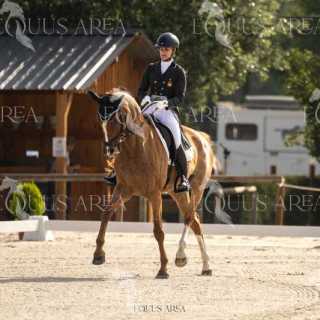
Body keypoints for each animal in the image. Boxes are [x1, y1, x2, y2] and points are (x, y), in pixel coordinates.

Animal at [88, 87, 218, 278]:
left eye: (114, 119)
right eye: (99, 118)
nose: (109, 151)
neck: (135, 148)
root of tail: (202, 137)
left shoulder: (154, 194)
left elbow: (158, 230)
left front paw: (163, 269)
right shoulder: (123, 189)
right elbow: (106, 214)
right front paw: (98, 255)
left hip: (196, 188)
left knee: (189, 217)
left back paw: (181, 256)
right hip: (176, 192)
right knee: (194, 220)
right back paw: (206, 266)